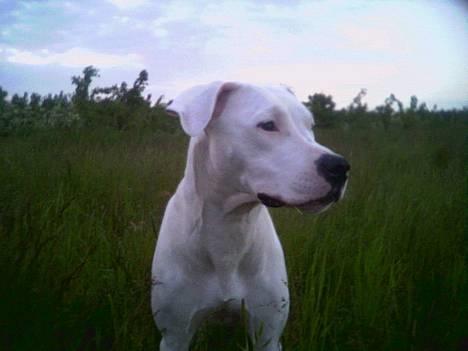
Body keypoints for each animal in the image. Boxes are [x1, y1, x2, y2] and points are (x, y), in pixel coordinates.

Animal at [152, 81, 350, 350]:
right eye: (268, 125)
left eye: (309, 126)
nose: (340, 167)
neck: (230, 225)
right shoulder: (175, 335)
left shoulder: (268, 334)